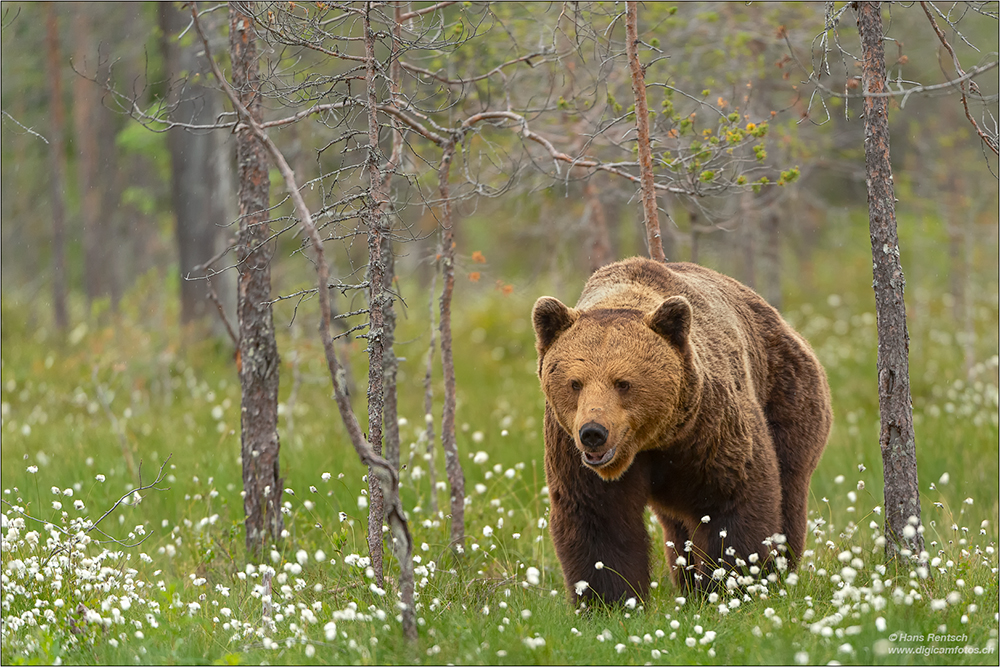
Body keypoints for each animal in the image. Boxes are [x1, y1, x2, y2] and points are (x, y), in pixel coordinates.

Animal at [536, 258, 832, 604]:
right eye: (575, 383)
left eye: (623, 382)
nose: (594, 432)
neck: (651, 441)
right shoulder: (570, 448)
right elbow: (599, 519)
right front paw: (610, 601)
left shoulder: (709, 426)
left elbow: (733, 499)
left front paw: (733, 585)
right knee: (678, 528)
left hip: (787, 394)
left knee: (789, 491)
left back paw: (781, 570)